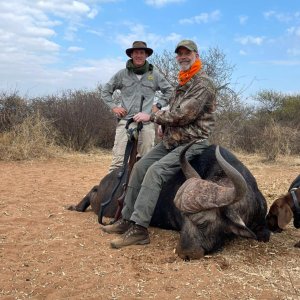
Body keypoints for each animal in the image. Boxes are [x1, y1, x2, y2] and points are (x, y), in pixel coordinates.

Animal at [68, 142, 270, 258]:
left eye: (203, 223)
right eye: (183, 219)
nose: (184, 254)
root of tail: (110, 178)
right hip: (104, 204)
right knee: (92, 192)